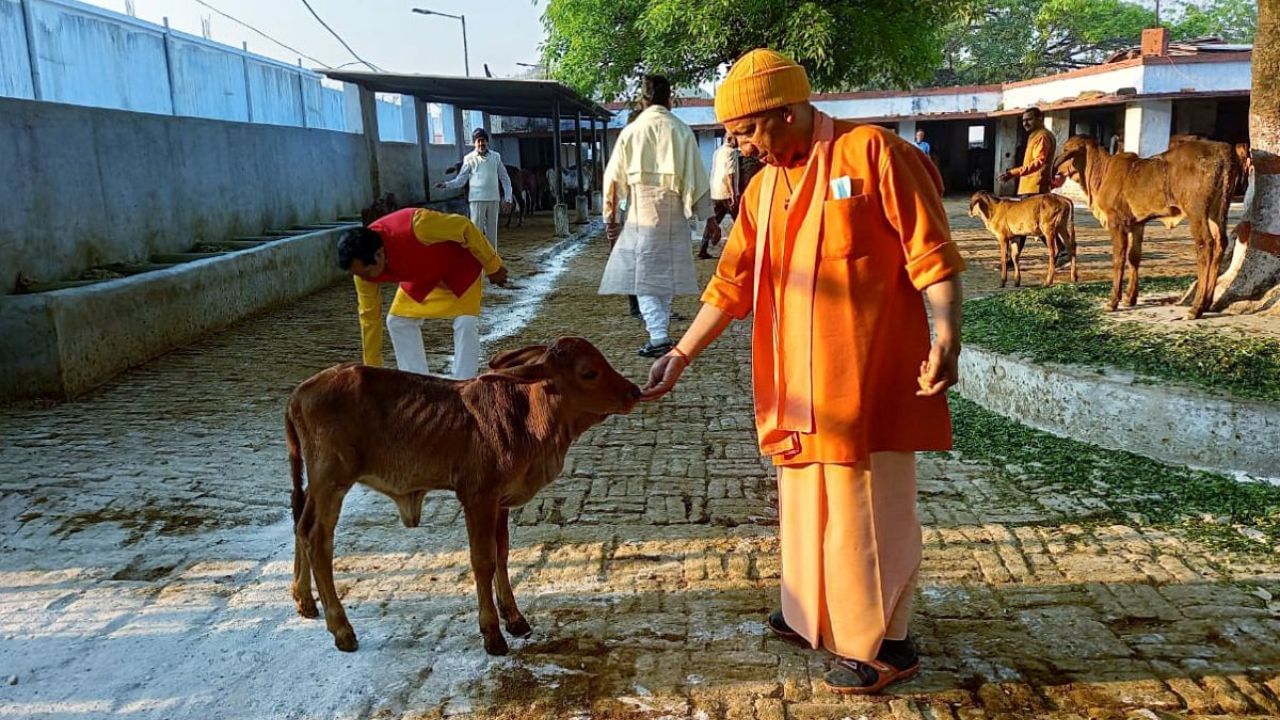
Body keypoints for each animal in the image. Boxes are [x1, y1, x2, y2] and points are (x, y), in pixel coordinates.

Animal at [281, 335, 640, 650]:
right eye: (588, 372)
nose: (634, 391)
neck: (524, 415)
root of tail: (299, 393)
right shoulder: (477, 497)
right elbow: (483, 560)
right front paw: (492, 633)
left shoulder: (500, 502)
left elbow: (502, 553)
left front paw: (514, 618)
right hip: (331, 481)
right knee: (317, 538)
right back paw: (341, 629)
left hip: (318, 485)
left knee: (300, 523)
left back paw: (305, 600)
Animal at [1049, 134, 1239, 316]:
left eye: (1066, 149)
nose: (1056, 170)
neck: (1102, 172)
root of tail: (1221, 148)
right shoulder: (1137, 224)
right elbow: (1134, 257)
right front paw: (1130, 298)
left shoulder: (1116, 223)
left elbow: (1119, 259)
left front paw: (1113, 301)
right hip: (1217, 211)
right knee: (1221, 242)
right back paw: (1207, 302)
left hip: (1196, 212)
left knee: (1205, 245)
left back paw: (1196, 307)